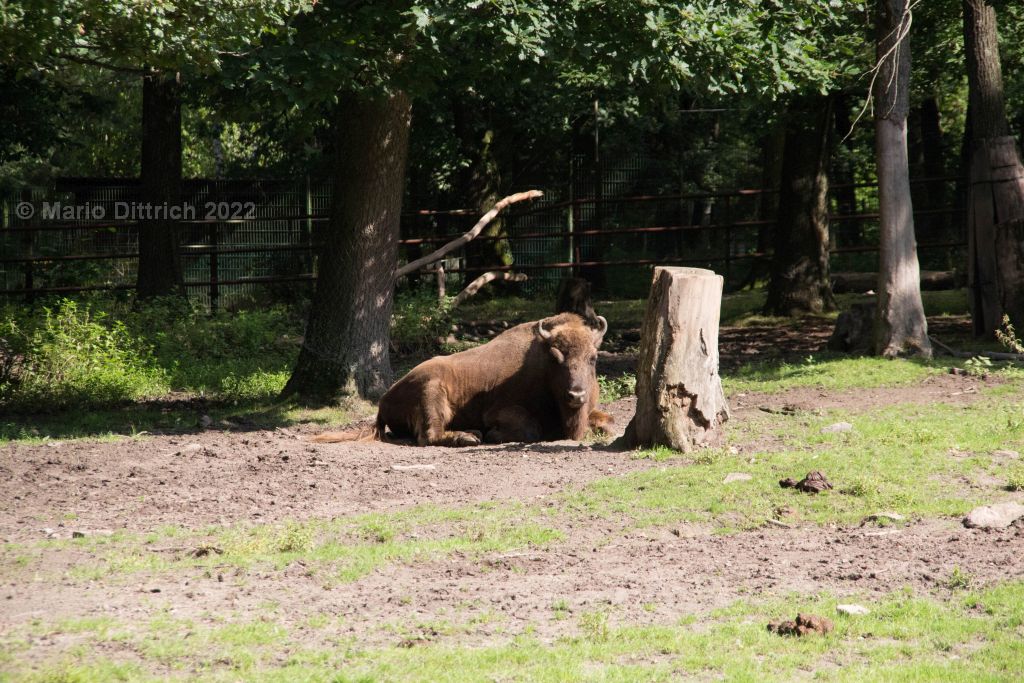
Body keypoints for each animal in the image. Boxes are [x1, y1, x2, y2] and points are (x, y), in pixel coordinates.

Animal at [311, 313, 610, 446]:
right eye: (556, 358)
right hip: (431, 391)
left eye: (593, 357)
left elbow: (608, 422)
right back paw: (470, 436)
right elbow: (530, 429)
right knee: (429, 435)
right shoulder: (498, 411)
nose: (576, 396)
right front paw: (492, 435)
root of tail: (383, 400)